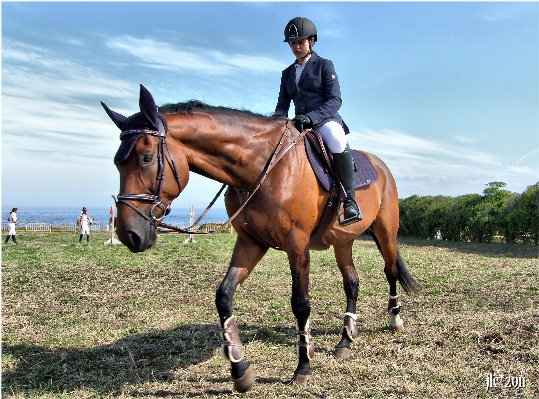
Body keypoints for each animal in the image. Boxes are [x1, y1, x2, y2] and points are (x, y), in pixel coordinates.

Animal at [102, 85, 422, 394]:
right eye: (117, 163)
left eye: (146, 158)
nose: (129, 235)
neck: (260, 168)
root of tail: (380, 165)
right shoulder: (250, 242)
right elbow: (224, 296)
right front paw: (239, 368)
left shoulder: (297, 245)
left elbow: (301, 303)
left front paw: (303, 366)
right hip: (343, 240)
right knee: (352, 282)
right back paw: (345, 341)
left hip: (386, 232)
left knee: (390, 271)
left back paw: (394, 319)